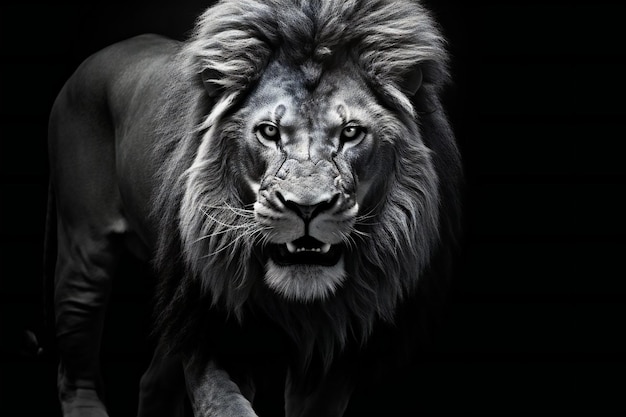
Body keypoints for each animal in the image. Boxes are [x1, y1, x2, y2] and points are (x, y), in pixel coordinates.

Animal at [47, 0, 458, 416]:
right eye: (270, 132)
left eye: (351, 133)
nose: (306, 208)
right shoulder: (207, 323)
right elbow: (227, 406)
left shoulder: (339, 349)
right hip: (86, 254)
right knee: (73, 371)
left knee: (152, 383)